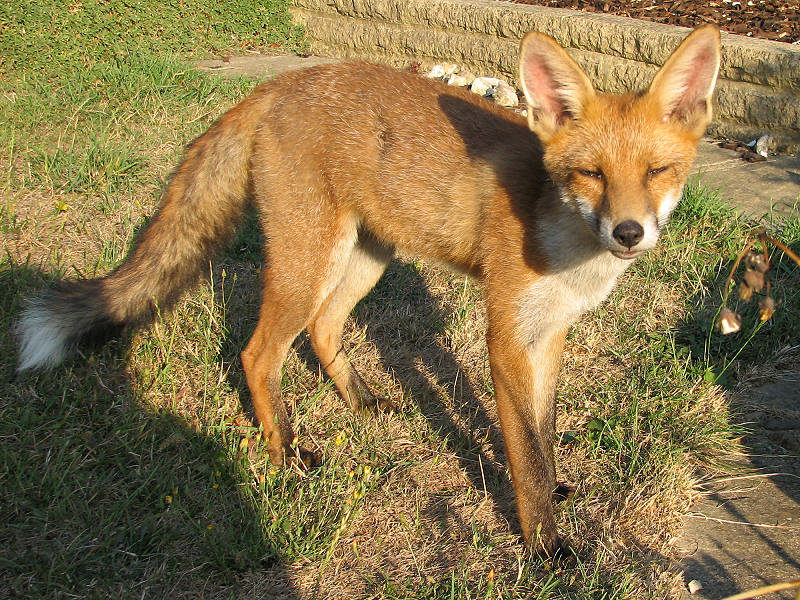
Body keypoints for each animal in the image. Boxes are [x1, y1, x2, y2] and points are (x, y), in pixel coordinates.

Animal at [16, 25, 721, 556]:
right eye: (590, 174)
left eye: (658, 171)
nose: (628, 232)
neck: (564, 245)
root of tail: (278, 84)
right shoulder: (505, 335)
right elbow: (525, 452)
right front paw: (546, 546)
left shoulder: (547, 334)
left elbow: (542, 435)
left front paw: (557, 495)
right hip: (307, 263)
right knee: (257, 353)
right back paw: (286, 454)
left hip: (366, 260)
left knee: (324, 329)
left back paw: (362, 403)